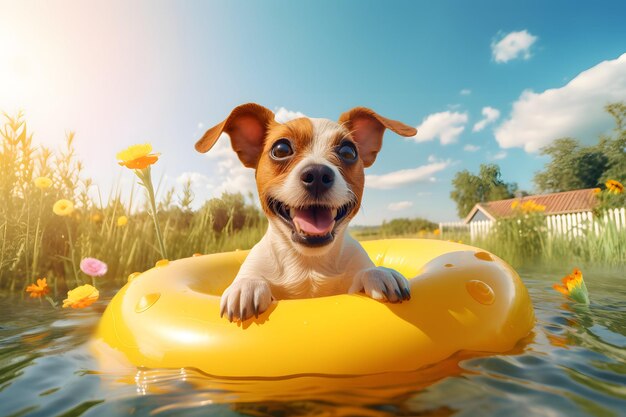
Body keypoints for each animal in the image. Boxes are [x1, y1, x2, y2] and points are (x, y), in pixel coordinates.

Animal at [195, 104, 416, 322]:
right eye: (281, 149)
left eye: (348, 151)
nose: (317, 174)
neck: (308, 264)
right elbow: (253, 277)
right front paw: (247, 285)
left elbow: (364, 273)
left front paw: (379, 273)